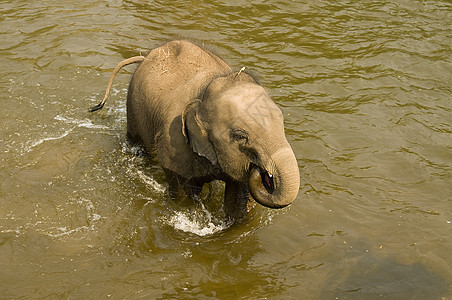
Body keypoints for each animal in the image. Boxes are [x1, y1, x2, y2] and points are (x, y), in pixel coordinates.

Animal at [89, 39, 298, 220]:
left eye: (282, 124)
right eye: (240, 136)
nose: (264, 172)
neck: (208, 90)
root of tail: (145, 57)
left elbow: (237, 199)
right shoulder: (174, 143)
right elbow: (183, 195)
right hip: (133, 105)